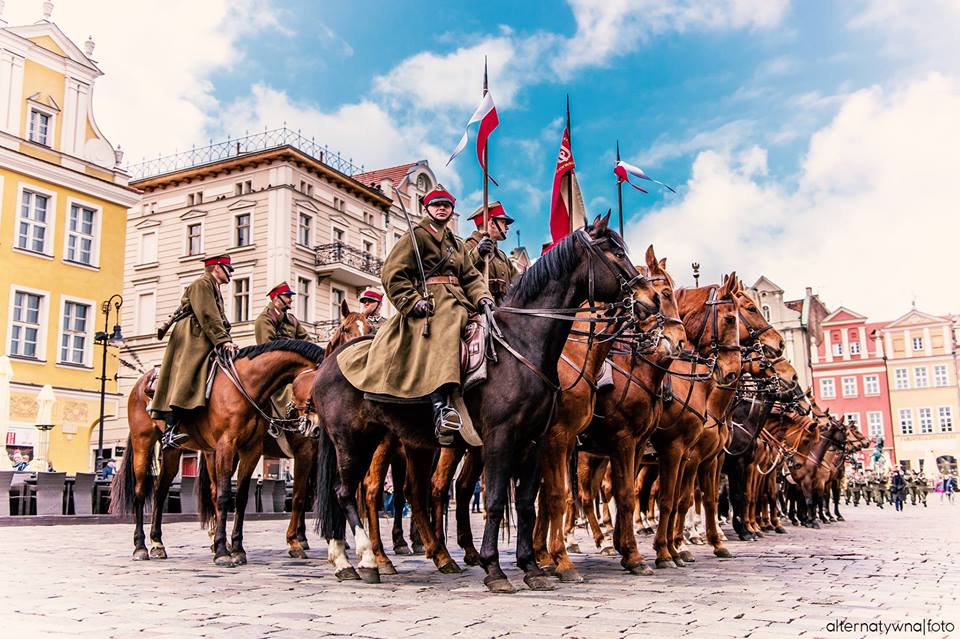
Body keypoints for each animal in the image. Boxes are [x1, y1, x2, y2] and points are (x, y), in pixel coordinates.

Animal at [112, 340, 326, 564]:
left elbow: (241, 498)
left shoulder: (251, 450)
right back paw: (141, 546)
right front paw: (225, 550)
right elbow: (229, 496)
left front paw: (238, 548)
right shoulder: (230, 445)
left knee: (161, 492)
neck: (247, 387)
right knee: (141, 491)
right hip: (143, 442)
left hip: (176, 452)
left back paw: (158, 543)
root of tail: (143, 380)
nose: (315, 428)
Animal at [312, 215, 664, 596]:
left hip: (381, 441)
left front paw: (531, 567)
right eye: (616, 253)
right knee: (349, 492)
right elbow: (496, 501)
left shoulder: (533, 441)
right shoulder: (504, 438)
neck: (524, 344)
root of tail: (328, 362)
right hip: (352, 441)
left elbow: (526, 504)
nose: (652, 300)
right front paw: (496, 569)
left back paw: (349, 560)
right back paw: (366, 559)